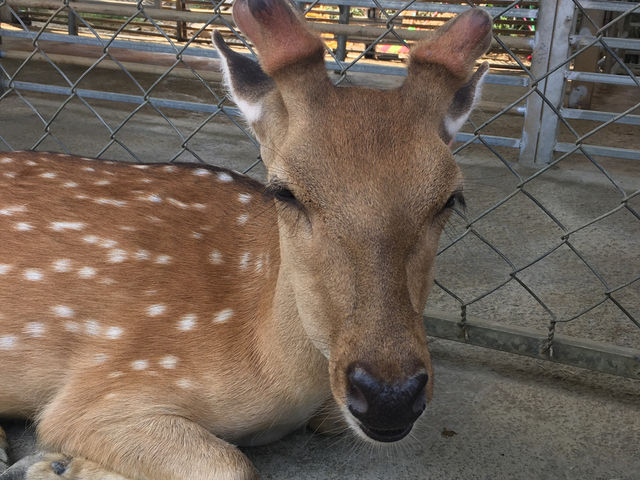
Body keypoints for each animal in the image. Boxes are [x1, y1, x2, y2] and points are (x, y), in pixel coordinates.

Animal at [0, 0, 492, 480]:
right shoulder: (106, 383)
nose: (391, 398)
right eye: (285, 191)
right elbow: (233, 465)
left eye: (451, 198)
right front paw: (51, 463)